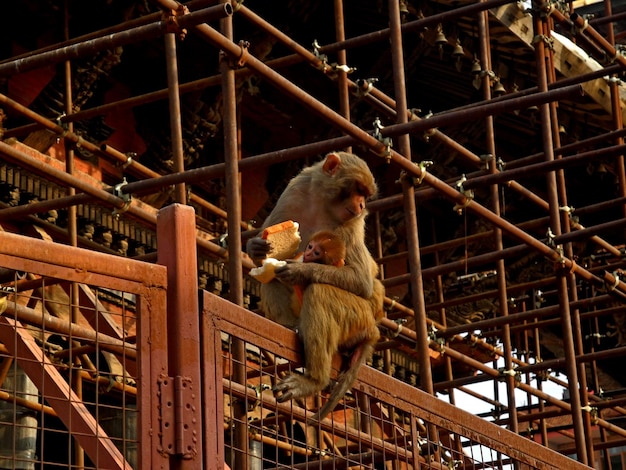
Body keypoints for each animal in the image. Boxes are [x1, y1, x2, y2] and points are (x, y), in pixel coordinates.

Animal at [246, 152, 382, 420]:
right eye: (358, 190)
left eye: (365, 194)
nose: (362, 205)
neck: (324, 203)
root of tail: (373, 329)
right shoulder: (296, 189)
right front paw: (256, 247)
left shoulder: (353, 224)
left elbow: (361, 280)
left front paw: (300, 271)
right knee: (271, 279)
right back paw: (289, 326)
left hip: (358, 318)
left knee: (321, 292)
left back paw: (313, 380)